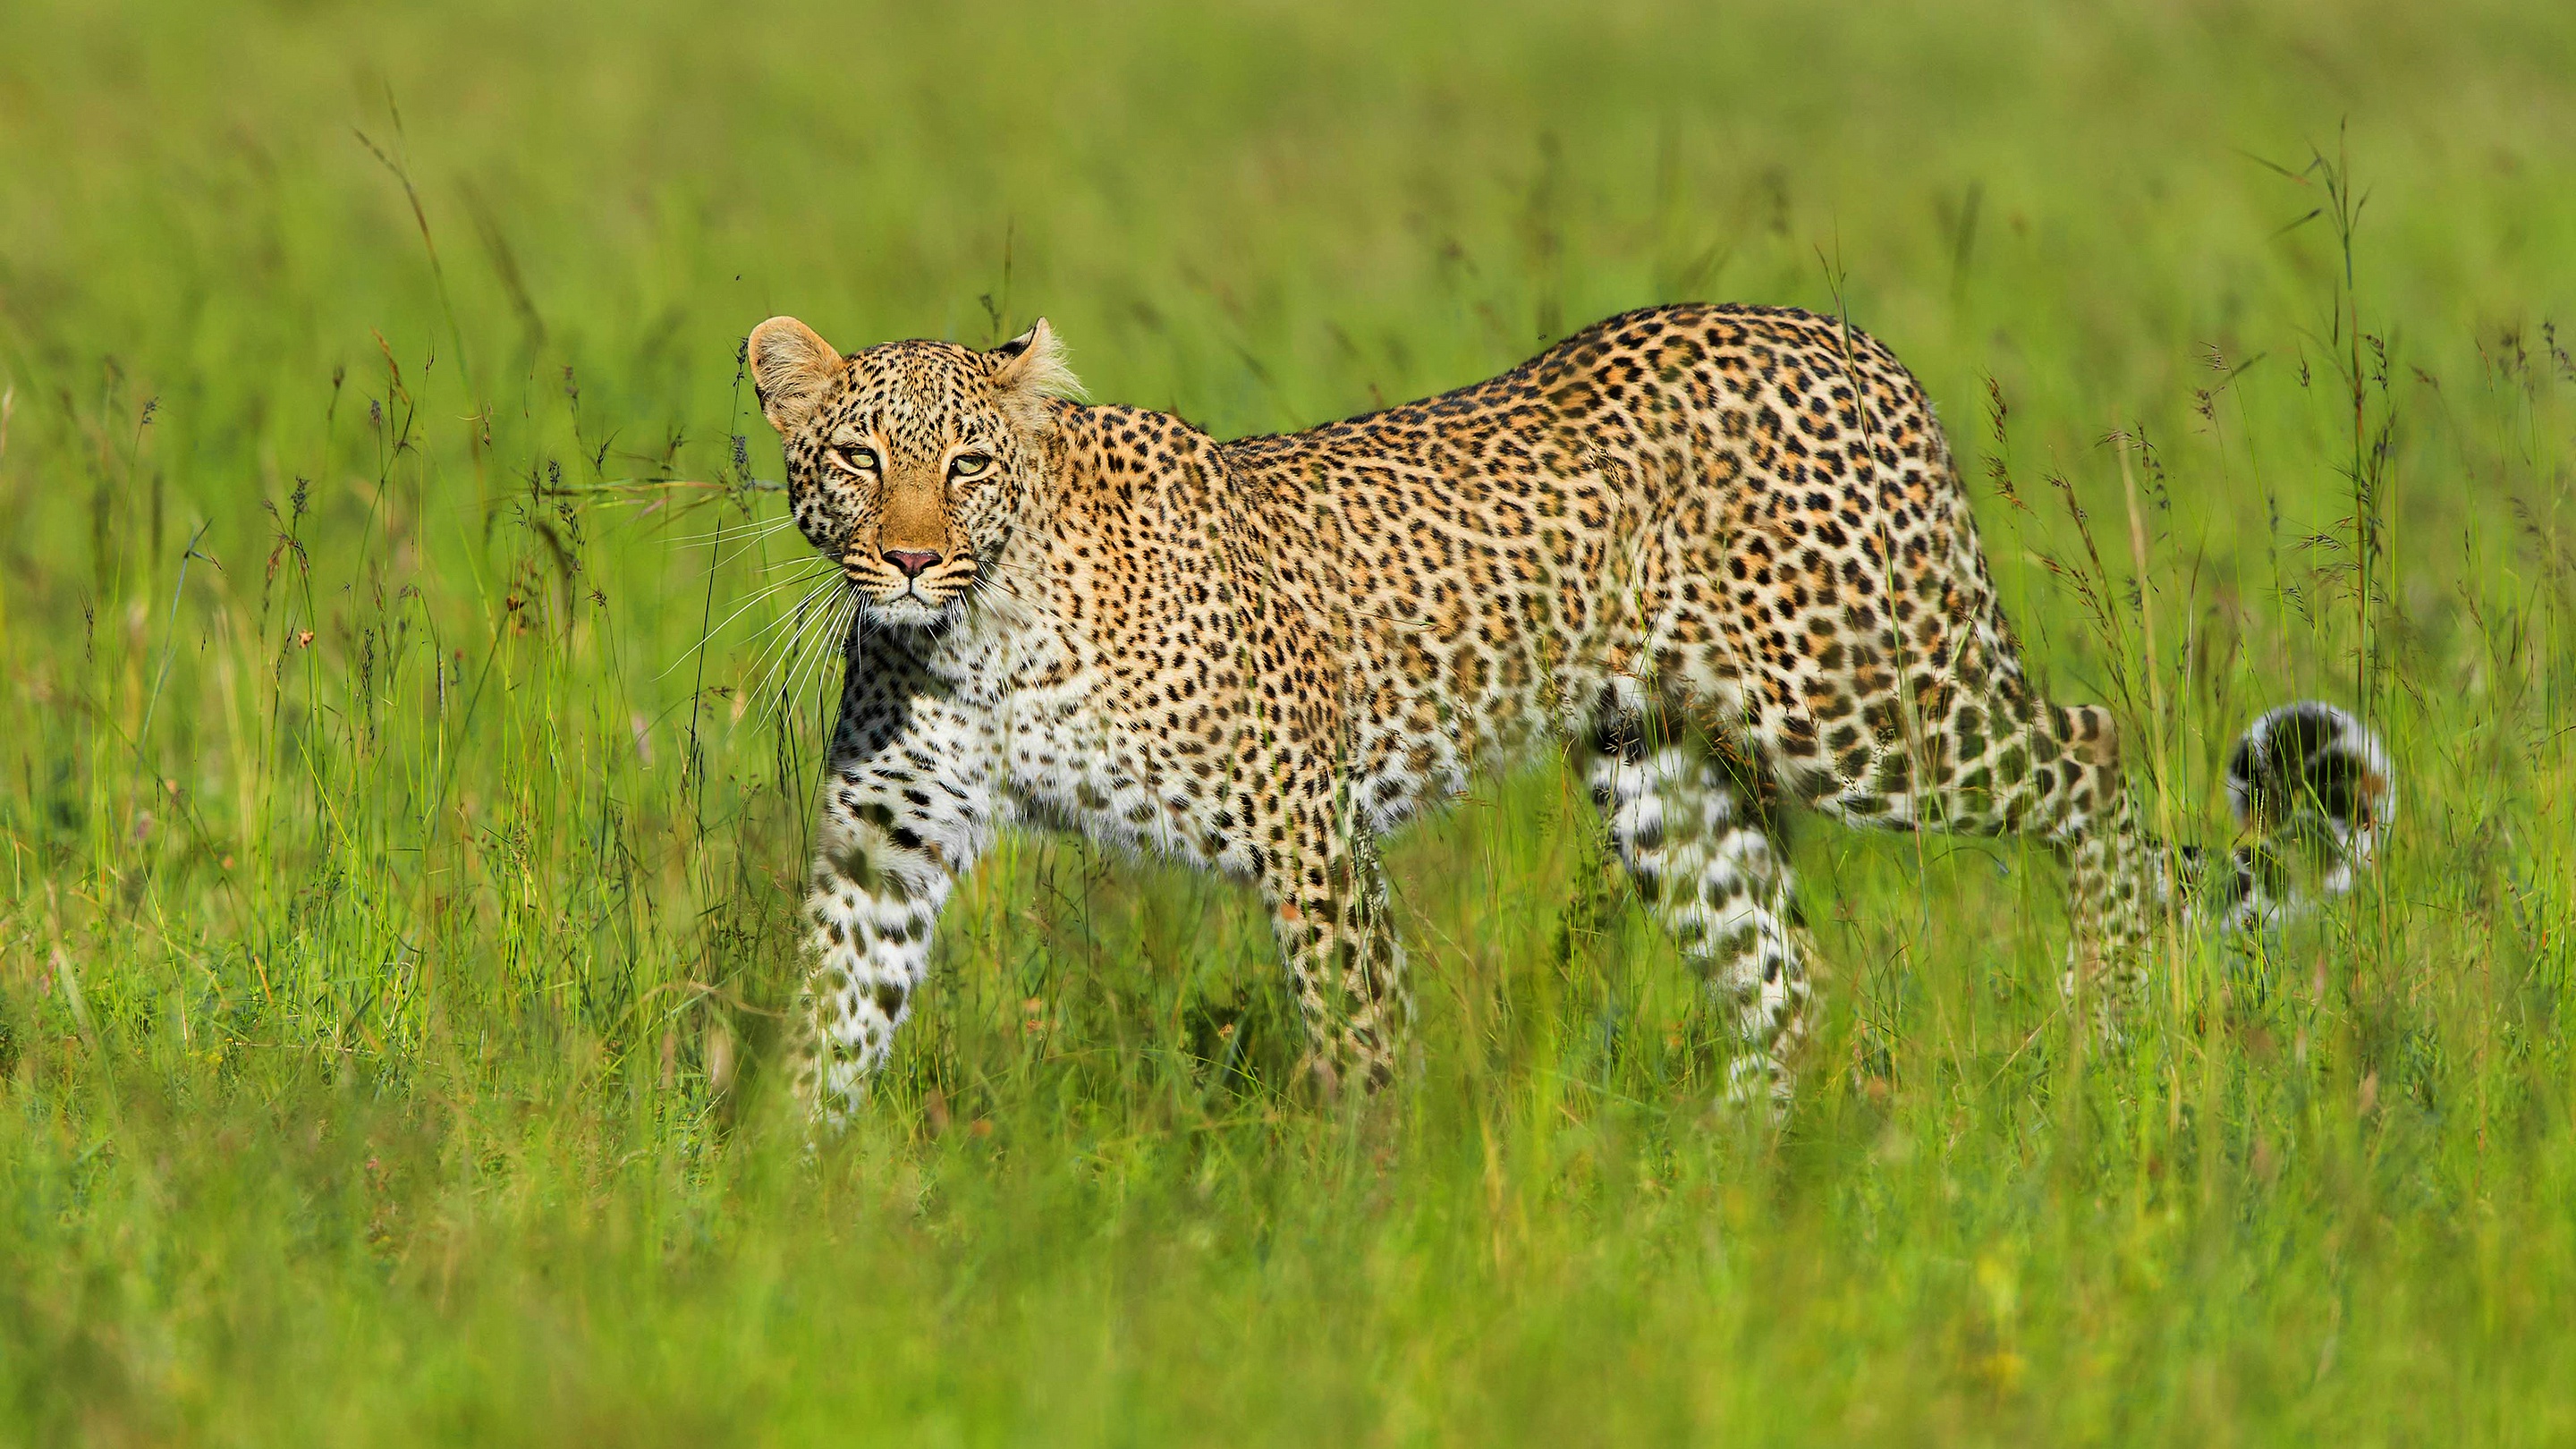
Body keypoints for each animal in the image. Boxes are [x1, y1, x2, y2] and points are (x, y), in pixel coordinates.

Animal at [736, 301, 2380, 1119]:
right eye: (857, 456)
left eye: (966, 465)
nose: (904, 554)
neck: (978, 635)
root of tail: (1848, 340)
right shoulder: (886, 847)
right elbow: (827, 1029)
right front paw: (777, 1217)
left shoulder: (1307, 840)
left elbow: (1361, 1051)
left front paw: (1353, 1236)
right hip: (1666, 772)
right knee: (1784, 974)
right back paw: (1731, 1188)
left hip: (1857, 697)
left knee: (2092, 760)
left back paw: (2104, 1016)